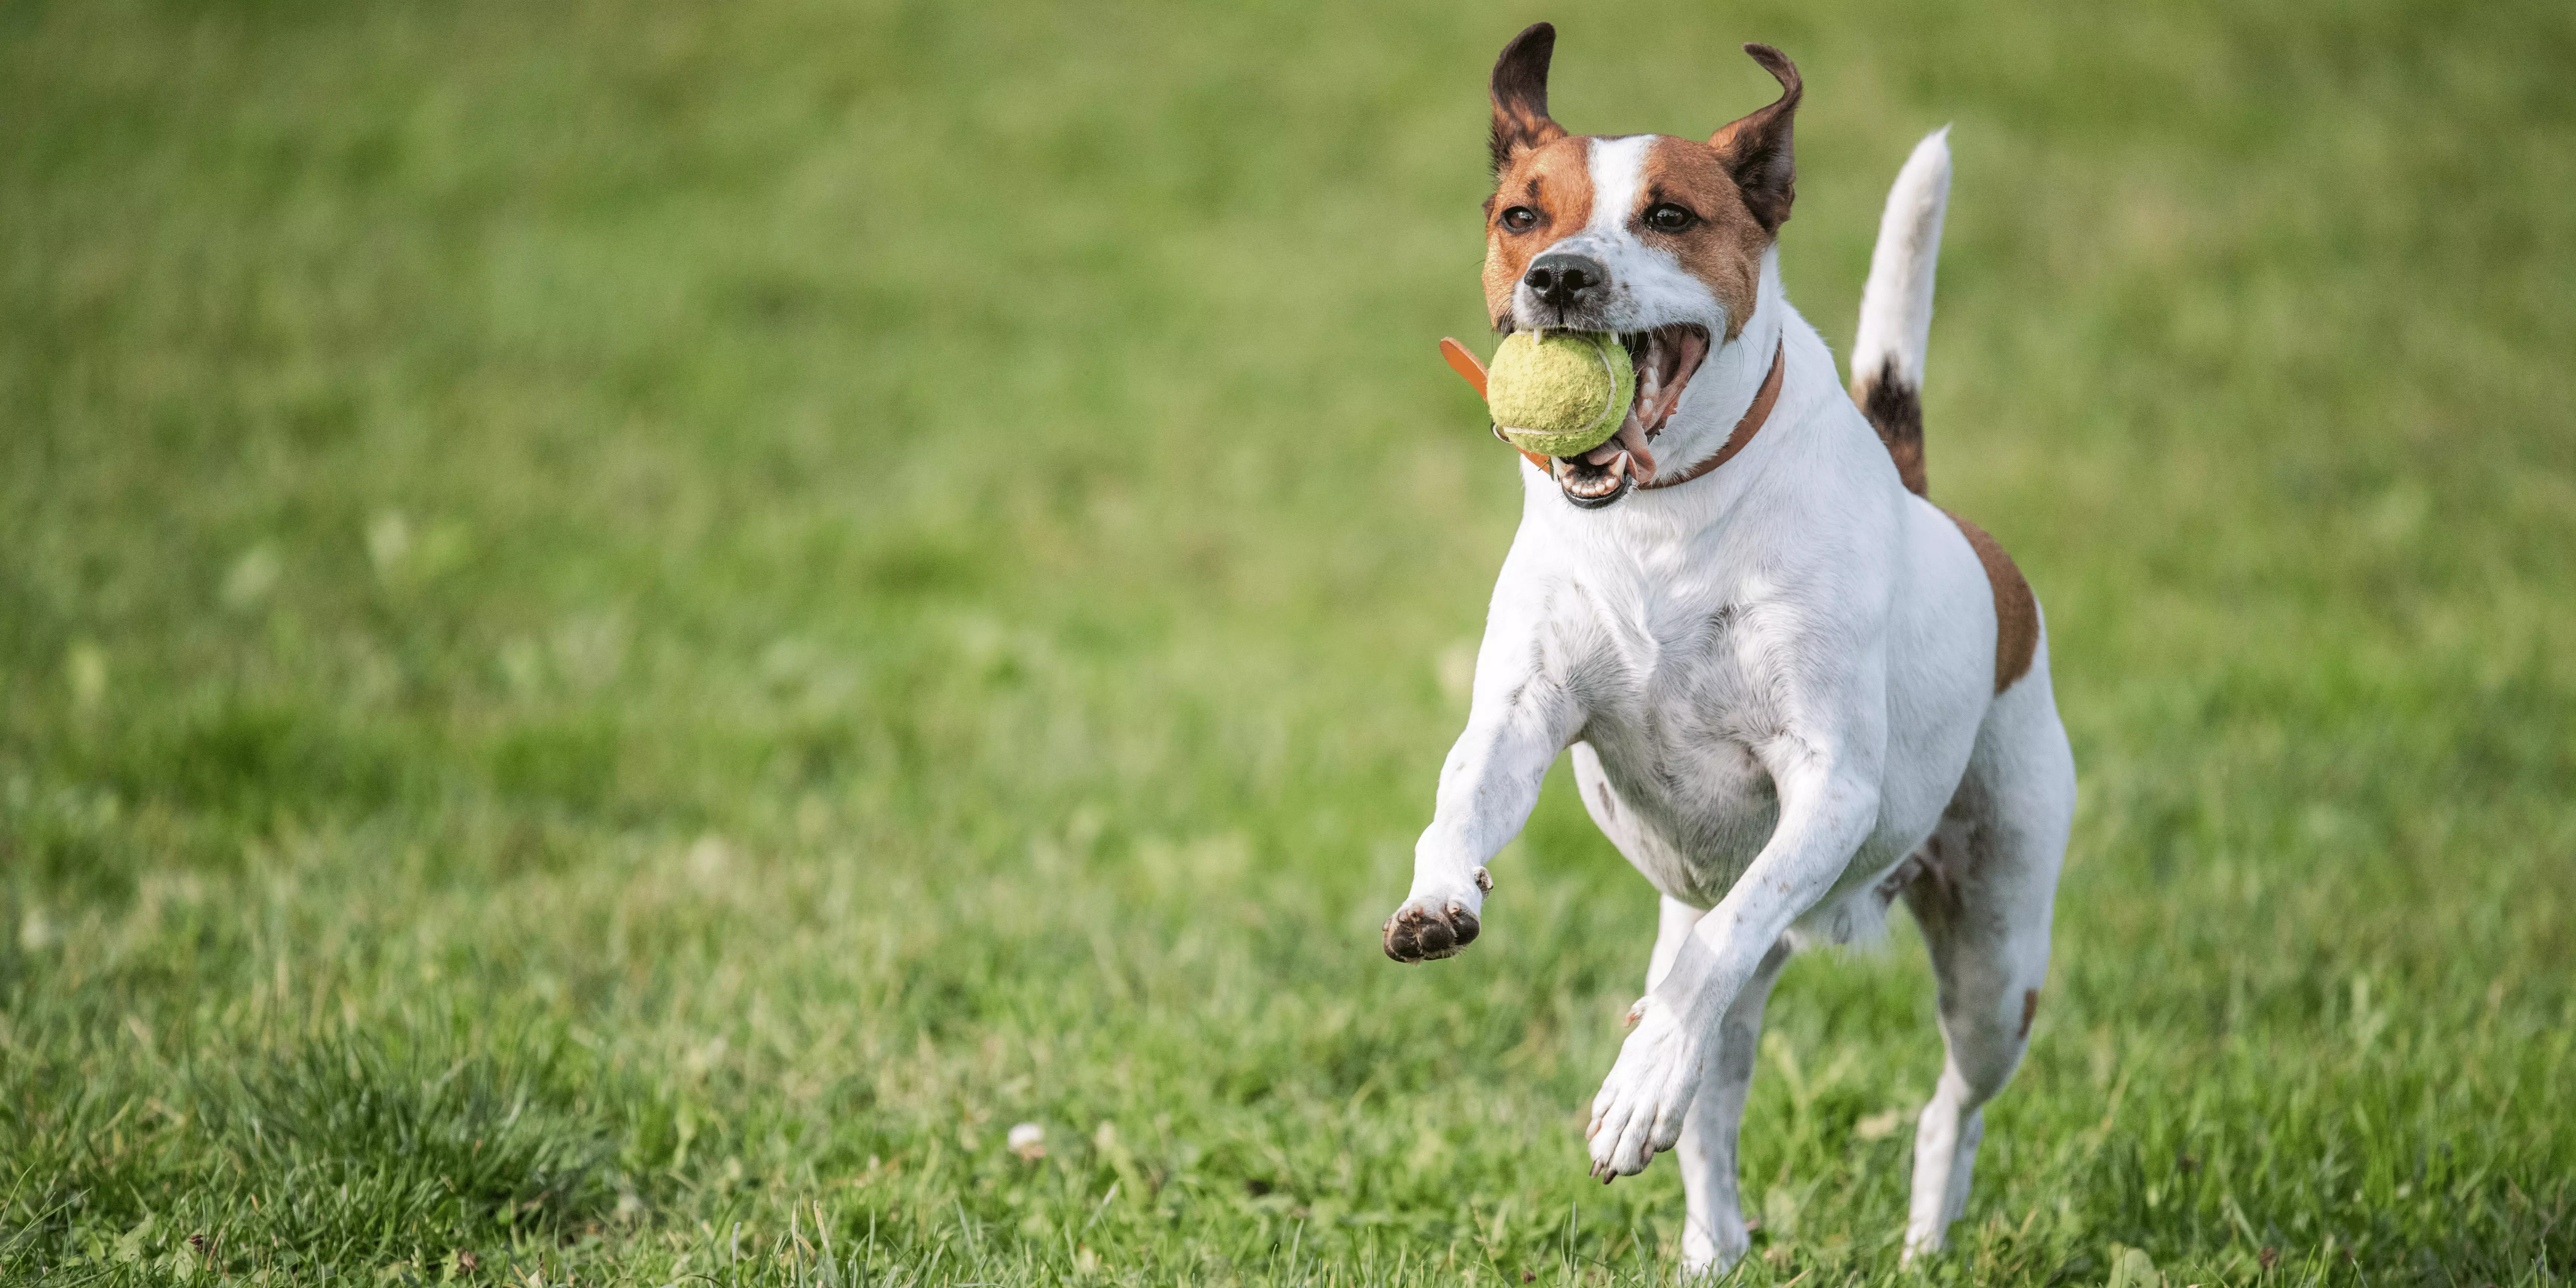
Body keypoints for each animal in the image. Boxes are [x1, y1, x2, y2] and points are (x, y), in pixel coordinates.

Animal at [1391, 25, 2071, 1272]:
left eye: (1669, 215)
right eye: (1523, 214)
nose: (1560, 275)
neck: (1664, 518)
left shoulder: (1831, 789)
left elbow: (1718, 953)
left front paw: (1639, 1080)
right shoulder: (1525, 709)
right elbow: (1463, 794)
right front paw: (1439, 895)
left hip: (1999, 955)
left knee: (1941, 1091)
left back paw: (1920, 1236)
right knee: (1713, 1084)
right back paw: (1713, 1243)